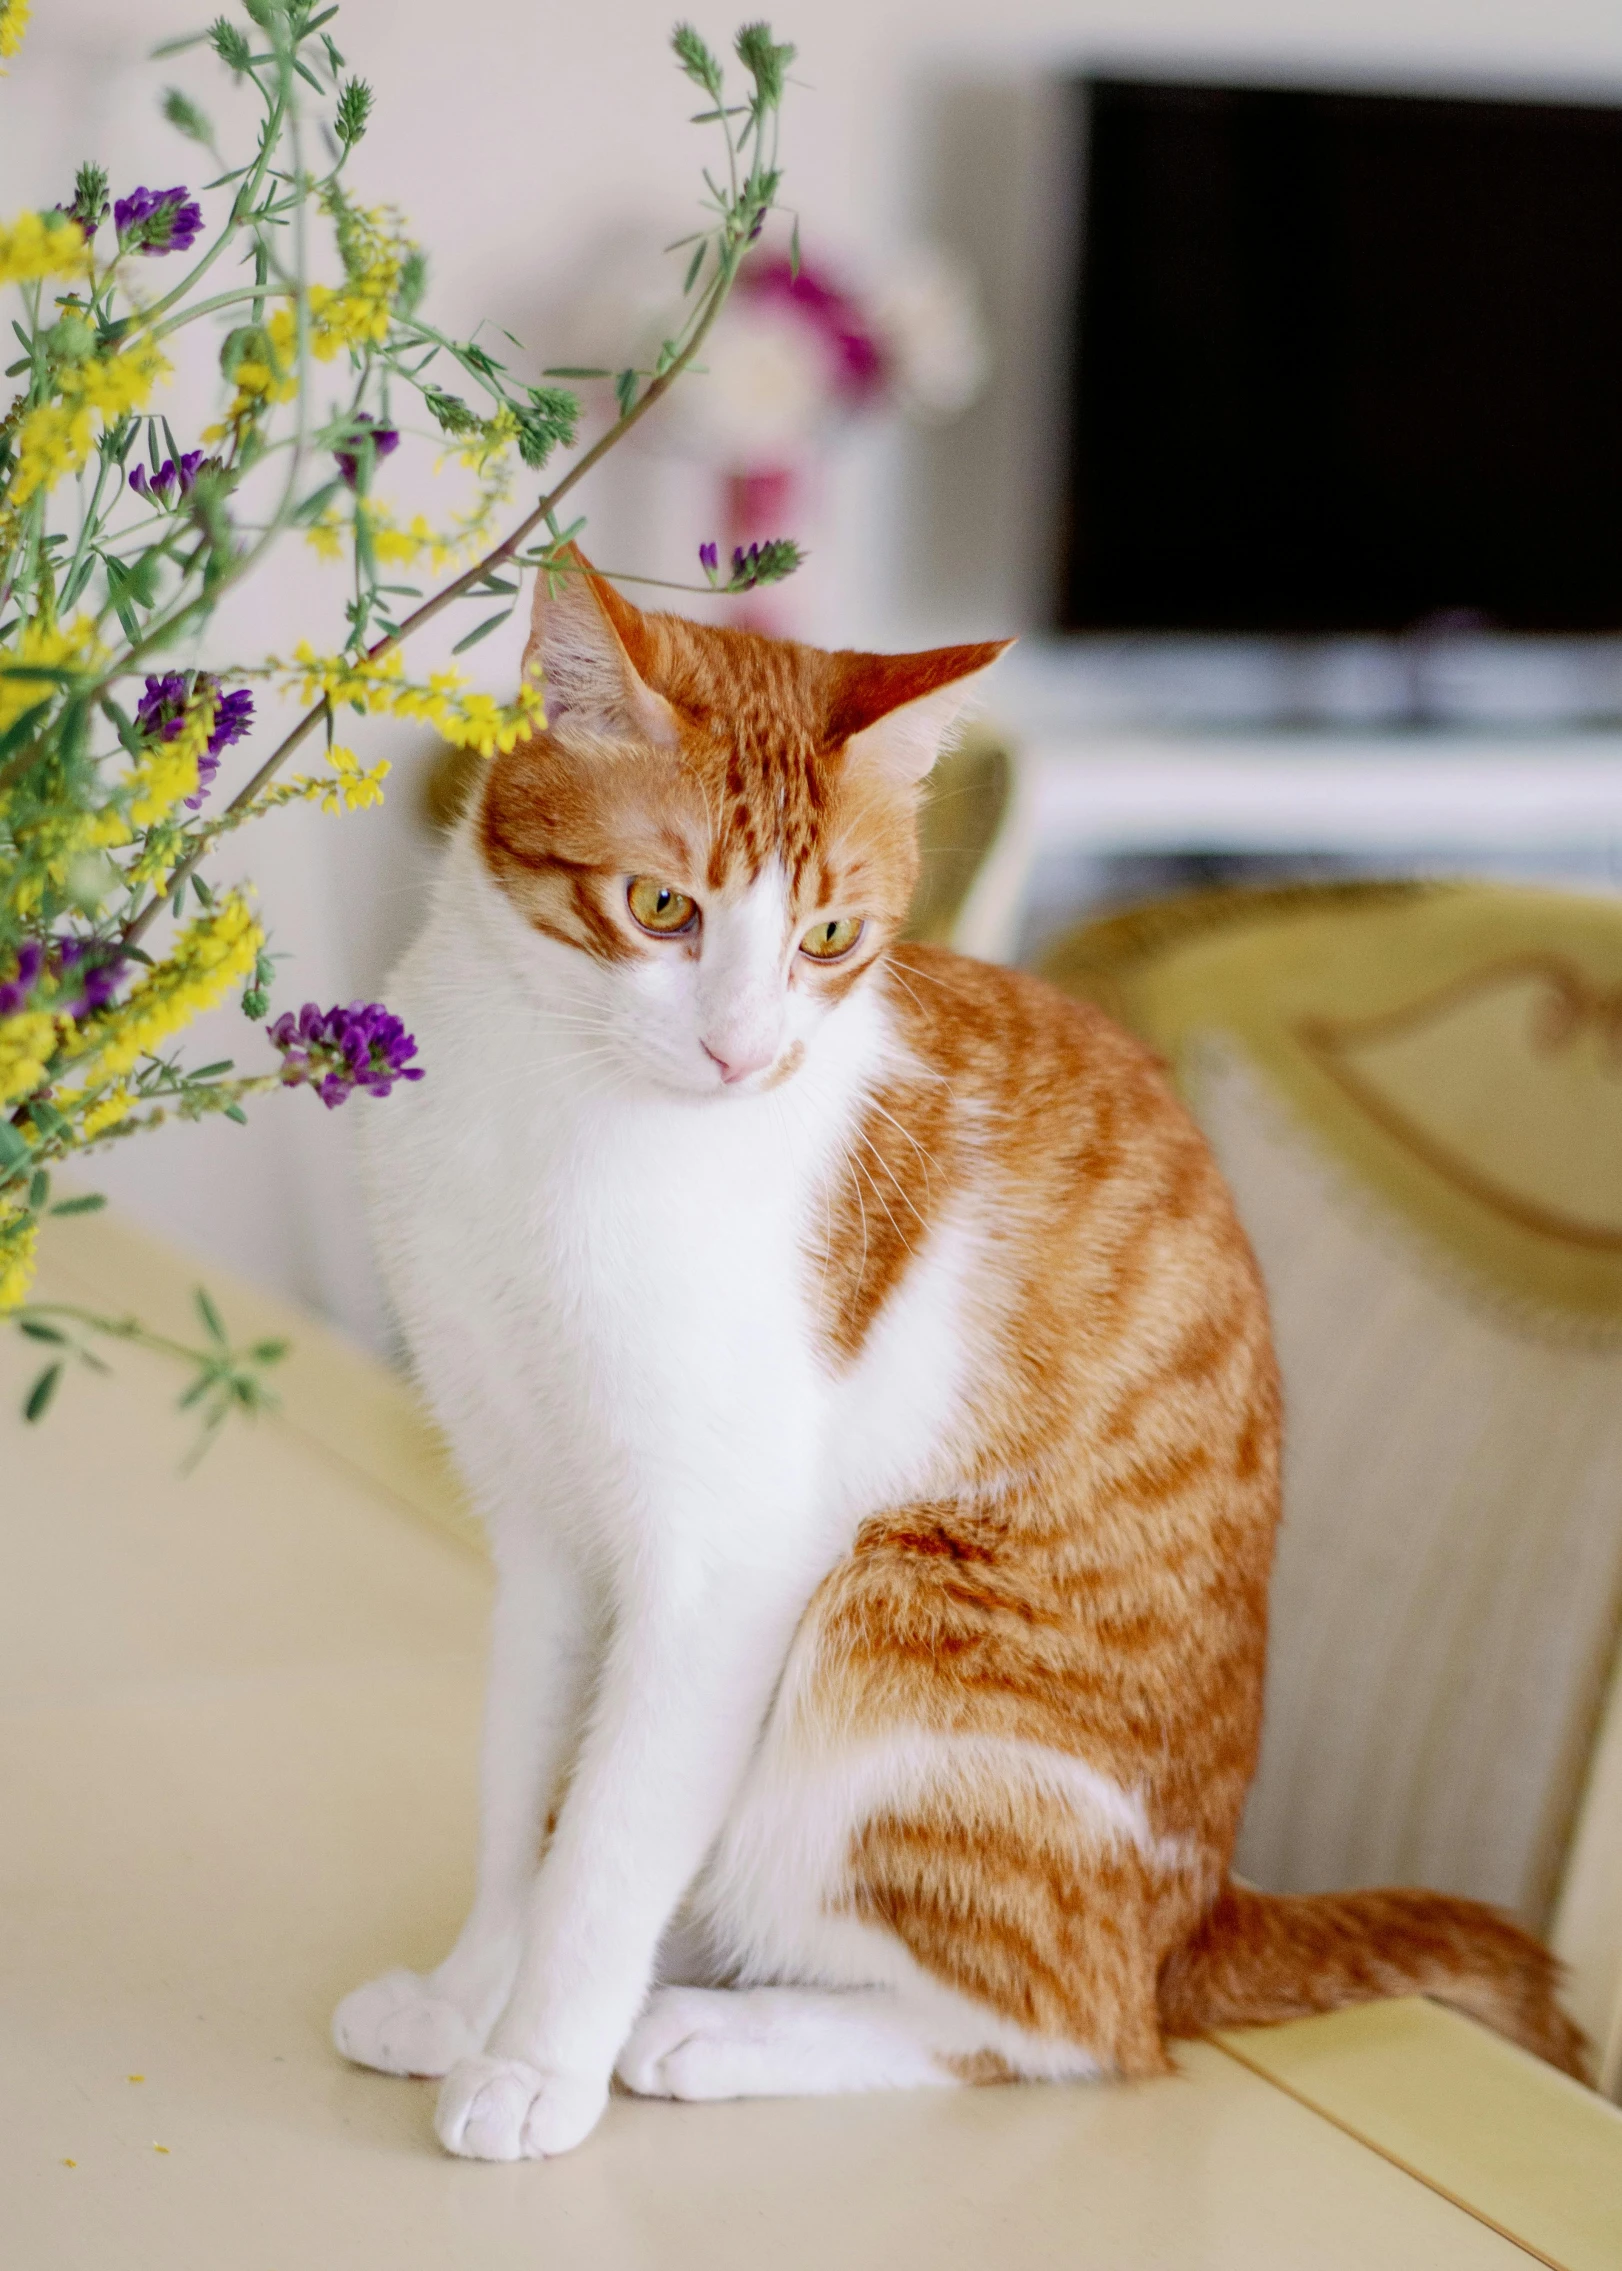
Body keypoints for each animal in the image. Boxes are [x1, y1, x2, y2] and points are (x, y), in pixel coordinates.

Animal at [333, 558, 1590, 2152]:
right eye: (660, 906)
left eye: (826, 939)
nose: (742, 1053)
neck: (553, 1109)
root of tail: (1199, 1916)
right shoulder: (542, 1535)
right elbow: (524, 1803)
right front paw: (466, 1996)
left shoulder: (724, 1568)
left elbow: (608, 1841)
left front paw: (538, 2062)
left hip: (888, 1638)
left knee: (1071, 2028)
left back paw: (718, 2031)